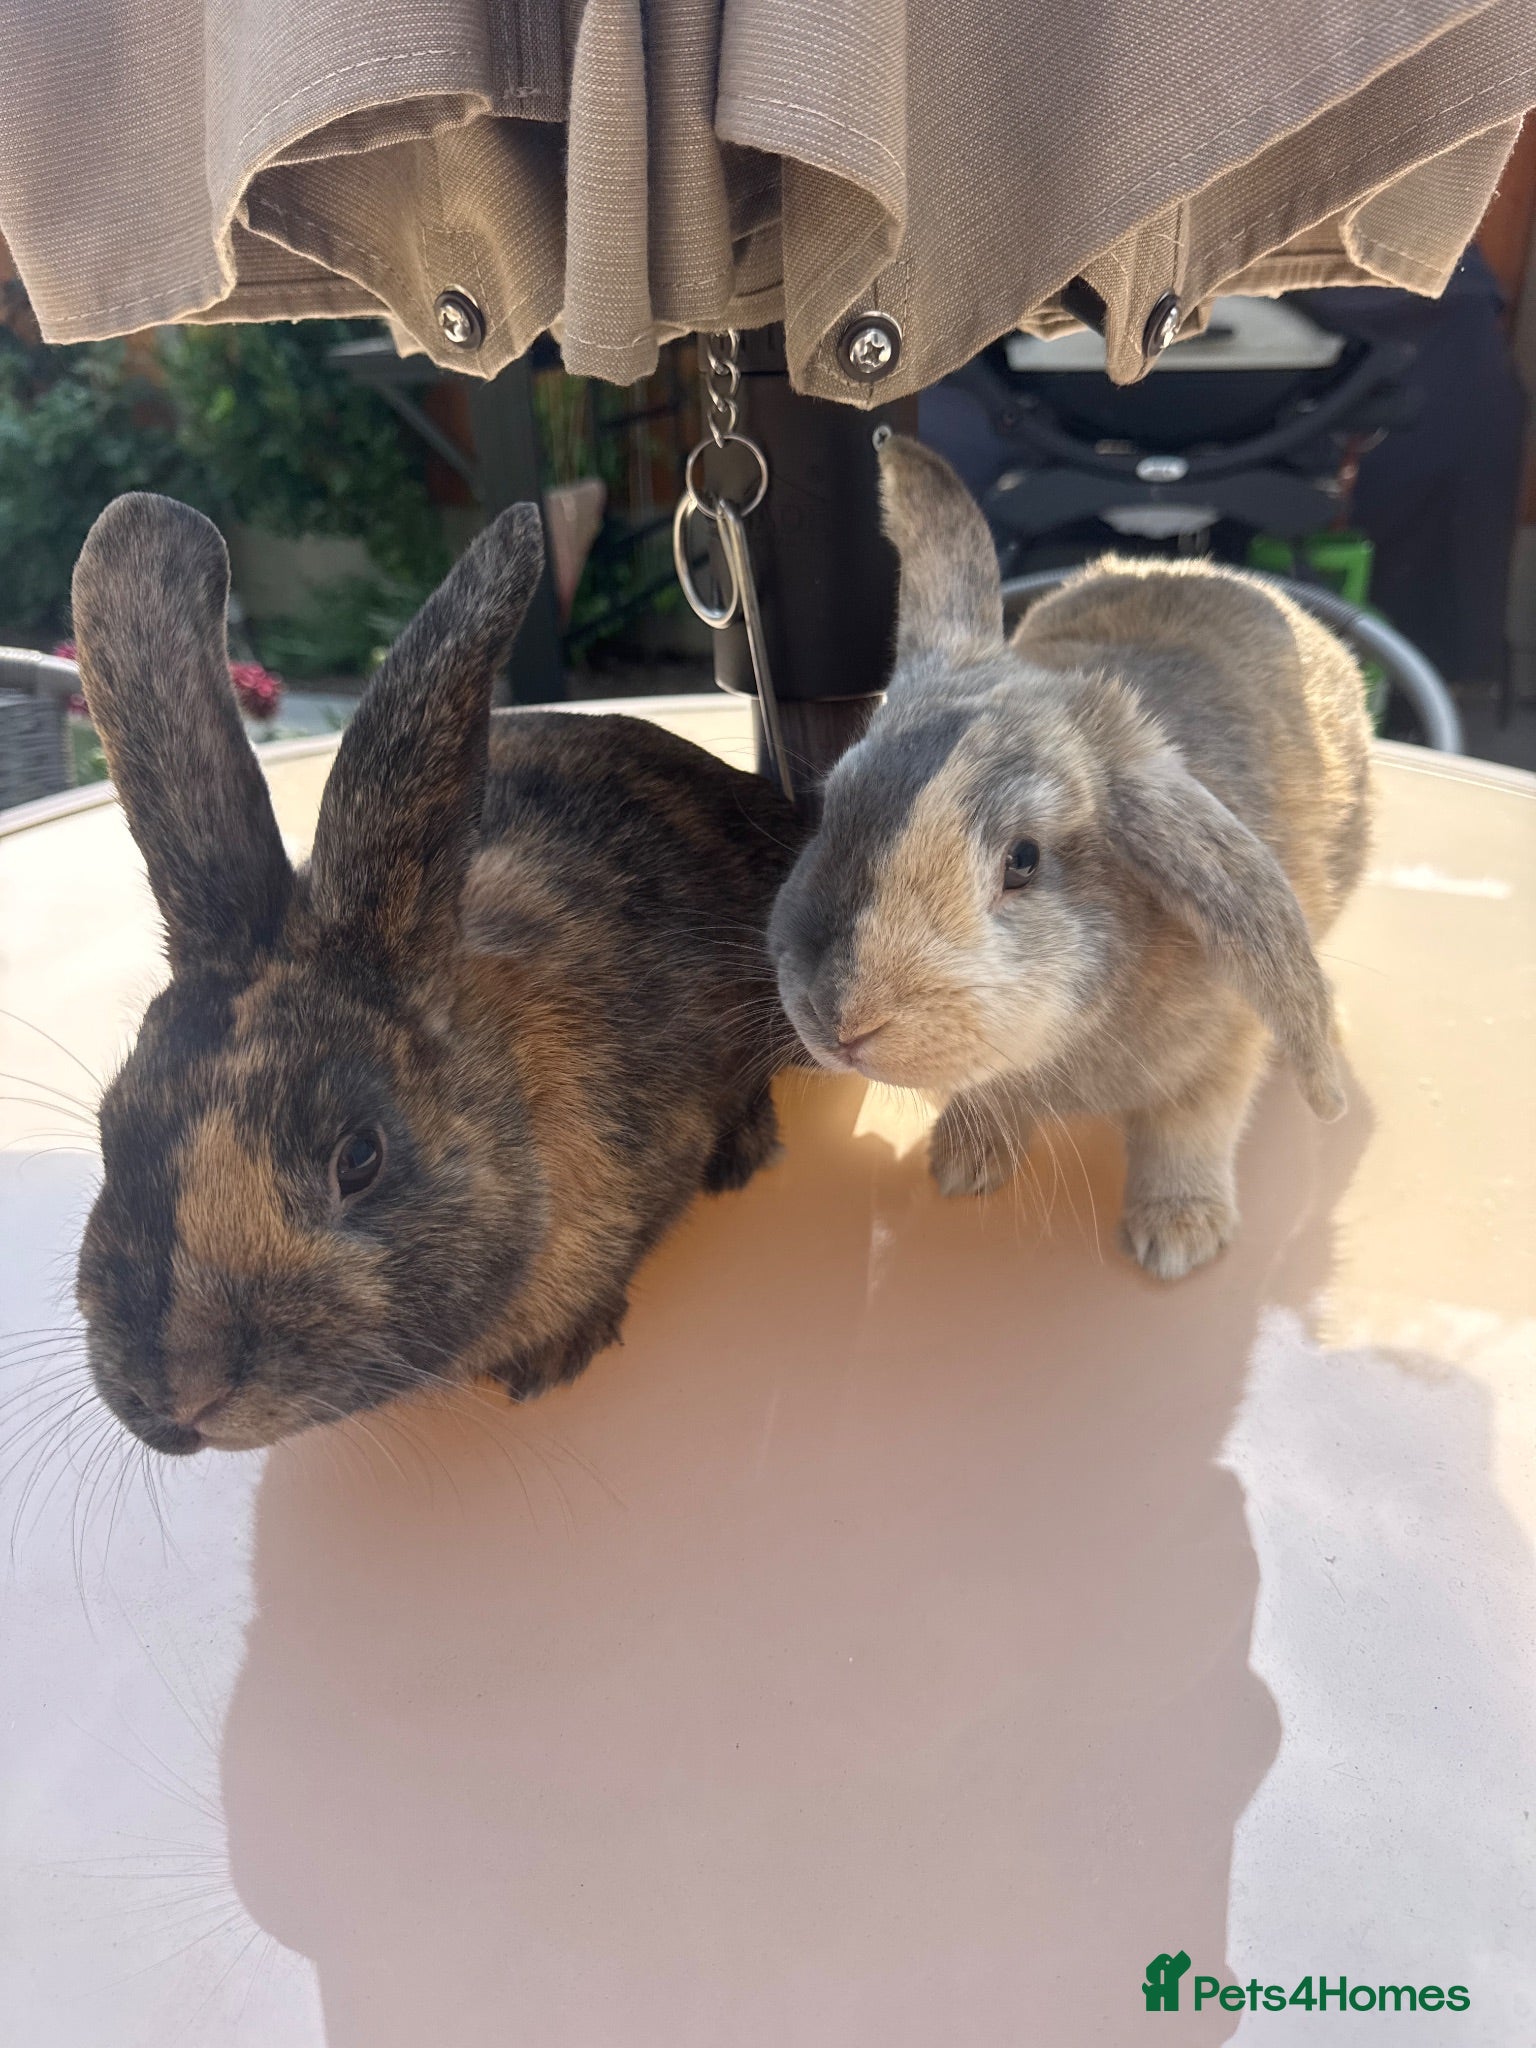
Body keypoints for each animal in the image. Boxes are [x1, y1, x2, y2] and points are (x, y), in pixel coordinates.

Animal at [769, 434, 1372, 1281]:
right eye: (833, 803)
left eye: (1023, 859)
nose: (840, 1020)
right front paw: (962, 1165)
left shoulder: (1224, 1057)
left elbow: (1189, 1133)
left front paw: (1177, 1240)